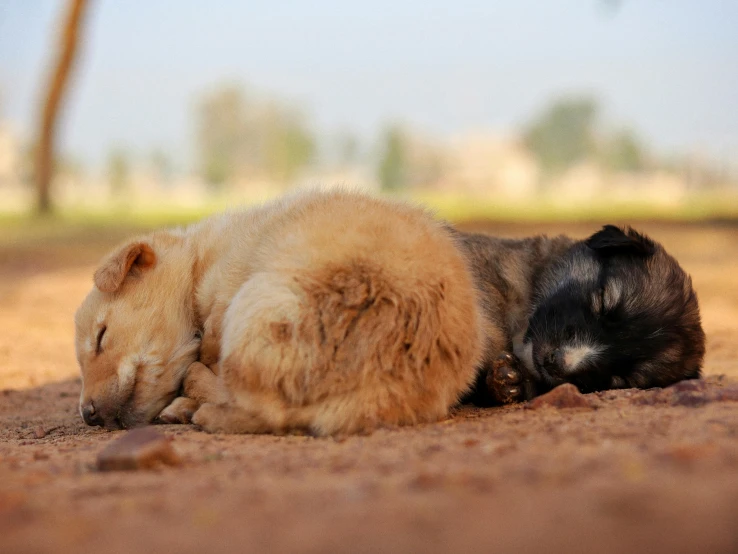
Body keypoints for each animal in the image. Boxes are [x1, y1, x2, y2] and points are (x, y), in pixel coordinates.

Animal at [75, 190, 484, 436]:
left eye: (101, 337)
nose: (87, 414)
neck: (198, 263)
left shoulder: (223, 297)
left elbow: (208, 351)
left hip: (255, 302)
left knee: (261, 408)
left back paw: (201, 407)